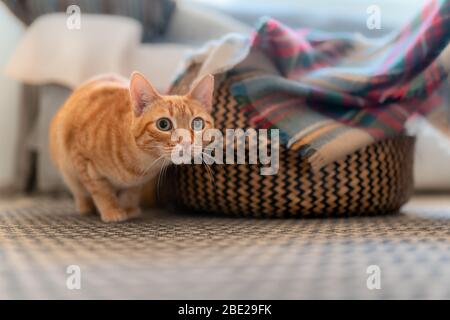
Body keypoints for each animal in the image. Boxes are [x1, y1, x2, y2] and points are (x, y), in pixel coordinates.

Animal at [50, 72, 215, 222]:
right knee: (79, 192)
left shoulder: (137, 184)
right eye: (163, 124)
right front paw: (112, 210)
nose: (186, 142)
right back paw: (85, 206)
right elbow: (102, 191)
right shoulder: (82, 159)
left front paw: (128, 208)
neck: (140, 163)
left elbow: (131, 193)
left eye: (197, 123)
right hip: (68, 172)